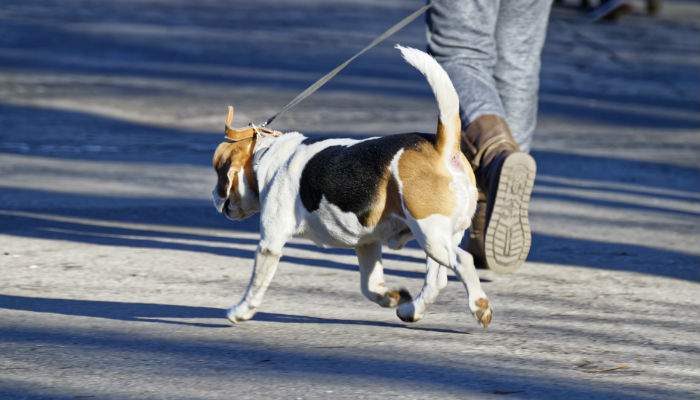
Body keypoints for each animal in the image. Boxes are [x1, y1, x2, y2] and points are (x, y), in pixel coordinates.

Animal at [213, 46, 492, 328]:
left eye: (218, 172)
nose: (214, 195)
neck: (266, 154)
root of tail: (440, 147)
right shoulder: (367, 244)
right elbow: (370, 287)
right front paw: (393, 297)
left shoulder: (270, 242)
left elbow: (256, 284)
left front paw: (240, 311)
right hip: (439, 239)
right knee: (437, 280)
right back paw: (410, 310)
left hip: (431, 234)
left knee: (463, 260)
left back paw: (479, 306)